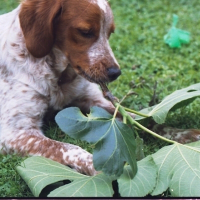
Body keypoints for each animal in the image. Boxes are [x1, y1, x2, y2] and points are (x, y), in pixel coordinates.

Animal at [0, 0, 121, 175]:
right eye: (85, 32)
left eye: (109, 33)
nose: (115, 72)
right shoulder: (16, 133)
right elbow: (71, 148)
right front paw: (99, 168)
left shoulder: (91, 99)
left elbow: (131, 116)